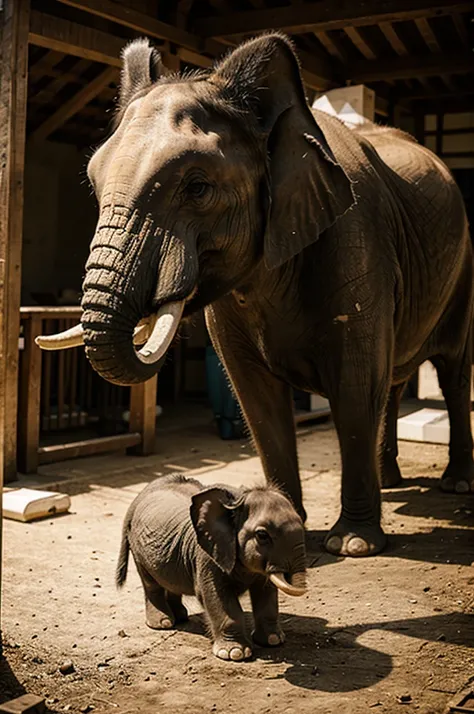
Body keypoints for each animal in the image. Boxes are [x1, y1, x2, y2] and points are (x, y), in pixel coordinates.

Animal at [38, 32, 474, 556]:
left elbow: (354, 388)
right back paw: (391, 483)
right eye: (94, 183)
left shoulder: (358, 244)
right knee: (392, 382)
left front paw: (352, 546)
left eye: (198, 187)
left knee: (450, 373)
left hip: (464, 266)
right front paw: (282, 528)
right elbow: (257, 397)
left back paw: (455, 484)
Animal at [116, 472, 306, 660]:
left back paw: (181, 617)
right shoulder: (206, 557)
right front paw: (234, 654)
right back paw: (163, 623)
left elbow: (265, 592)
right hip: (138, 549)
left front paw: (274, 640)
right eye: (262, 535)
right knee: (151, 584)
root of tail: (137, 498)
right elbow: (214, 594)